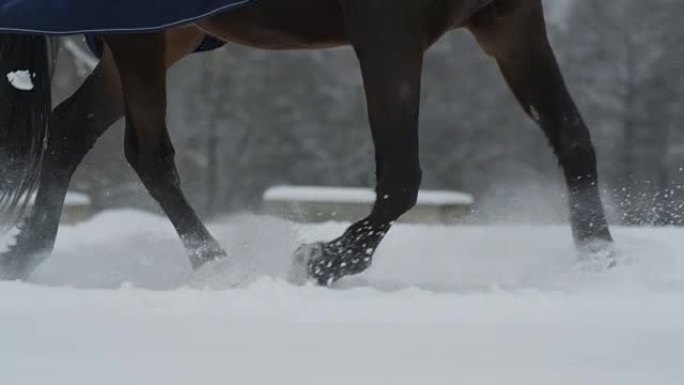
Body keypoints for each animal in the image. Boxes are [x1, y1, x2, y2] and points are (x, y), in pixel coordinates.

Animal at [0, 0, 612, 282]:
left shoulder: (511, 21)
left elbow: (573, 134)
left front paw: (599, 254)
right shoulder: (387, 32)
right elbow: (401, 177)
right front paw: (327, 260)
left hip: (167, 36)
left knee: (69, 130)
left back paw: (26, 254)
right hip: (142, 40)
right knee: (146, 152)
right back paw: (216, 264)